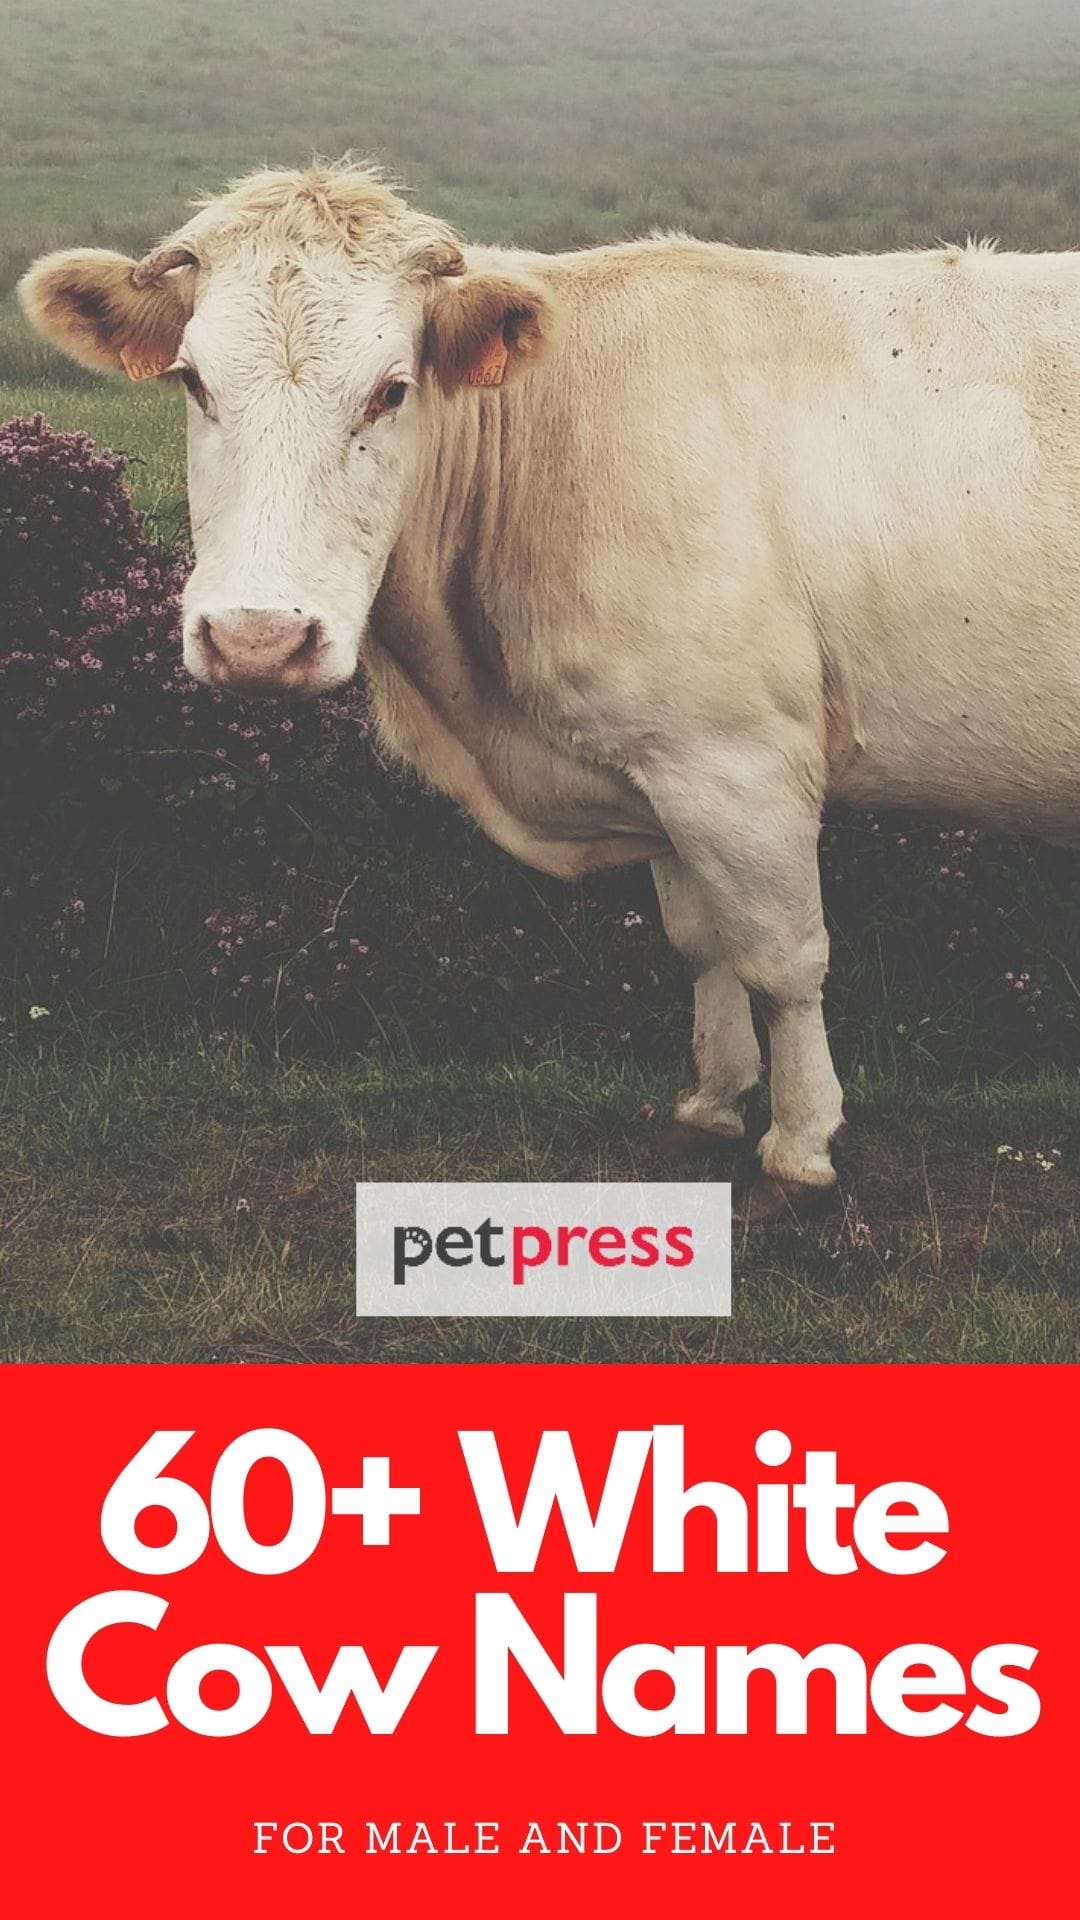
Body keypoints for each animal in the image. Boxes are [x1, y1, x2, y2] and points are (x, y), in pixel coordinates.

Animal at [20, 162, 1080, 1216]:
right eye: (193, 380)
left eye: (391, 390)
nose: (257, 640)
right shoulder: (668, 761)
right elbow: (703, 944)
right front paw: (711, 1106)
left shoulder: (738, 762)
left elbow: (783, 961)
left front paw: (800, 1149)